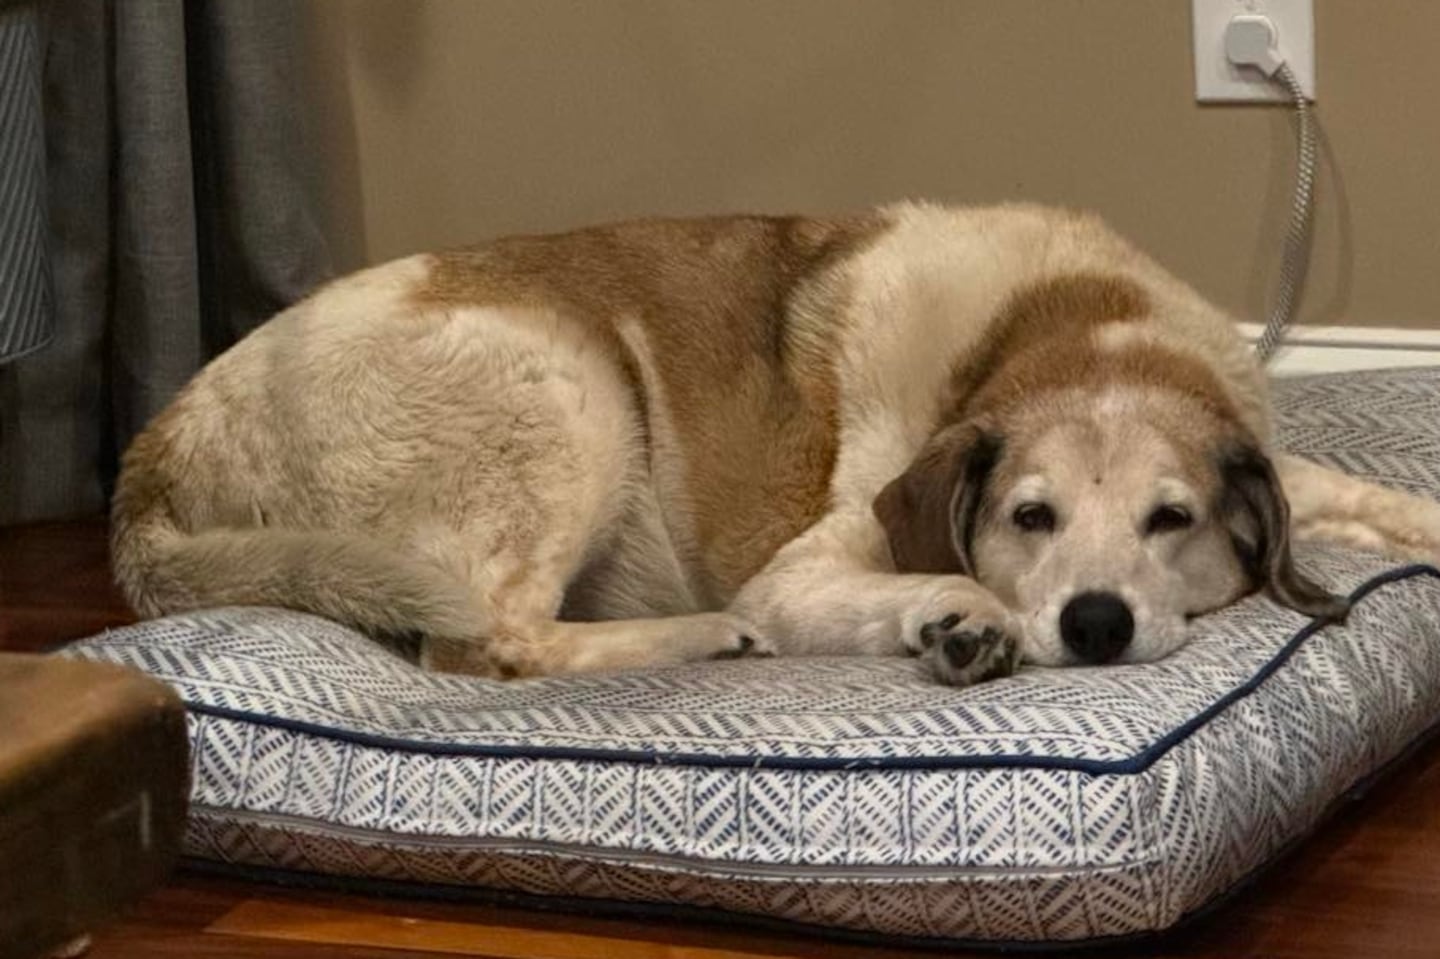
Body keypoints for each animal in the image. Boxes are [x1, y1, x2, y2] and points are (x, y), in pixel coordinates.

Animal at [109, 200, 1440, 679]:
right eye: (1030, 516)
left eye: (1174, 519)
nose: (1096, 623)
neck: (1066, 329)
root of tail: (165, 439)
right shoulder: (810, 564)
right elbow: (931, 579)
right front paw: (963, 616)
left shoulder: (1270, 452)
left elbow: (1385, 501)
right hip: (571, 388)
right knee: (493, 640)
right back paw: (706, 635)